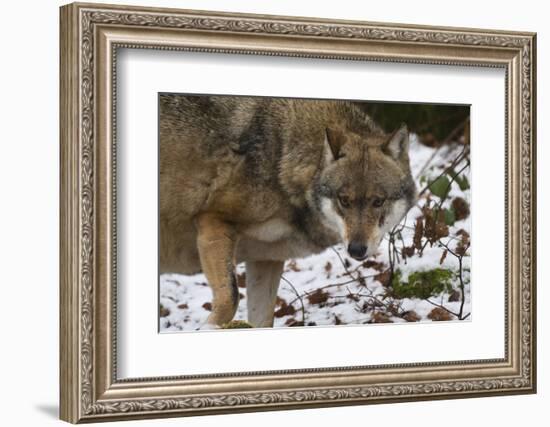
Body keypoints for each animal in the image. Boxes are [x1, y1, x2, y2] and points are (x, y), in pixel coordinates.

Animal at [160, 95, 418, 330]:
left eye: (378, 201)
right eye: (344, 200)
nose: (356, 249)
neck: (281, 158)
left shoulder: (266, 259)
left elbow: (262, 320)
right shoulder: (213, 221)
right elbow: (230, 297)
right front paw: (209, 328)